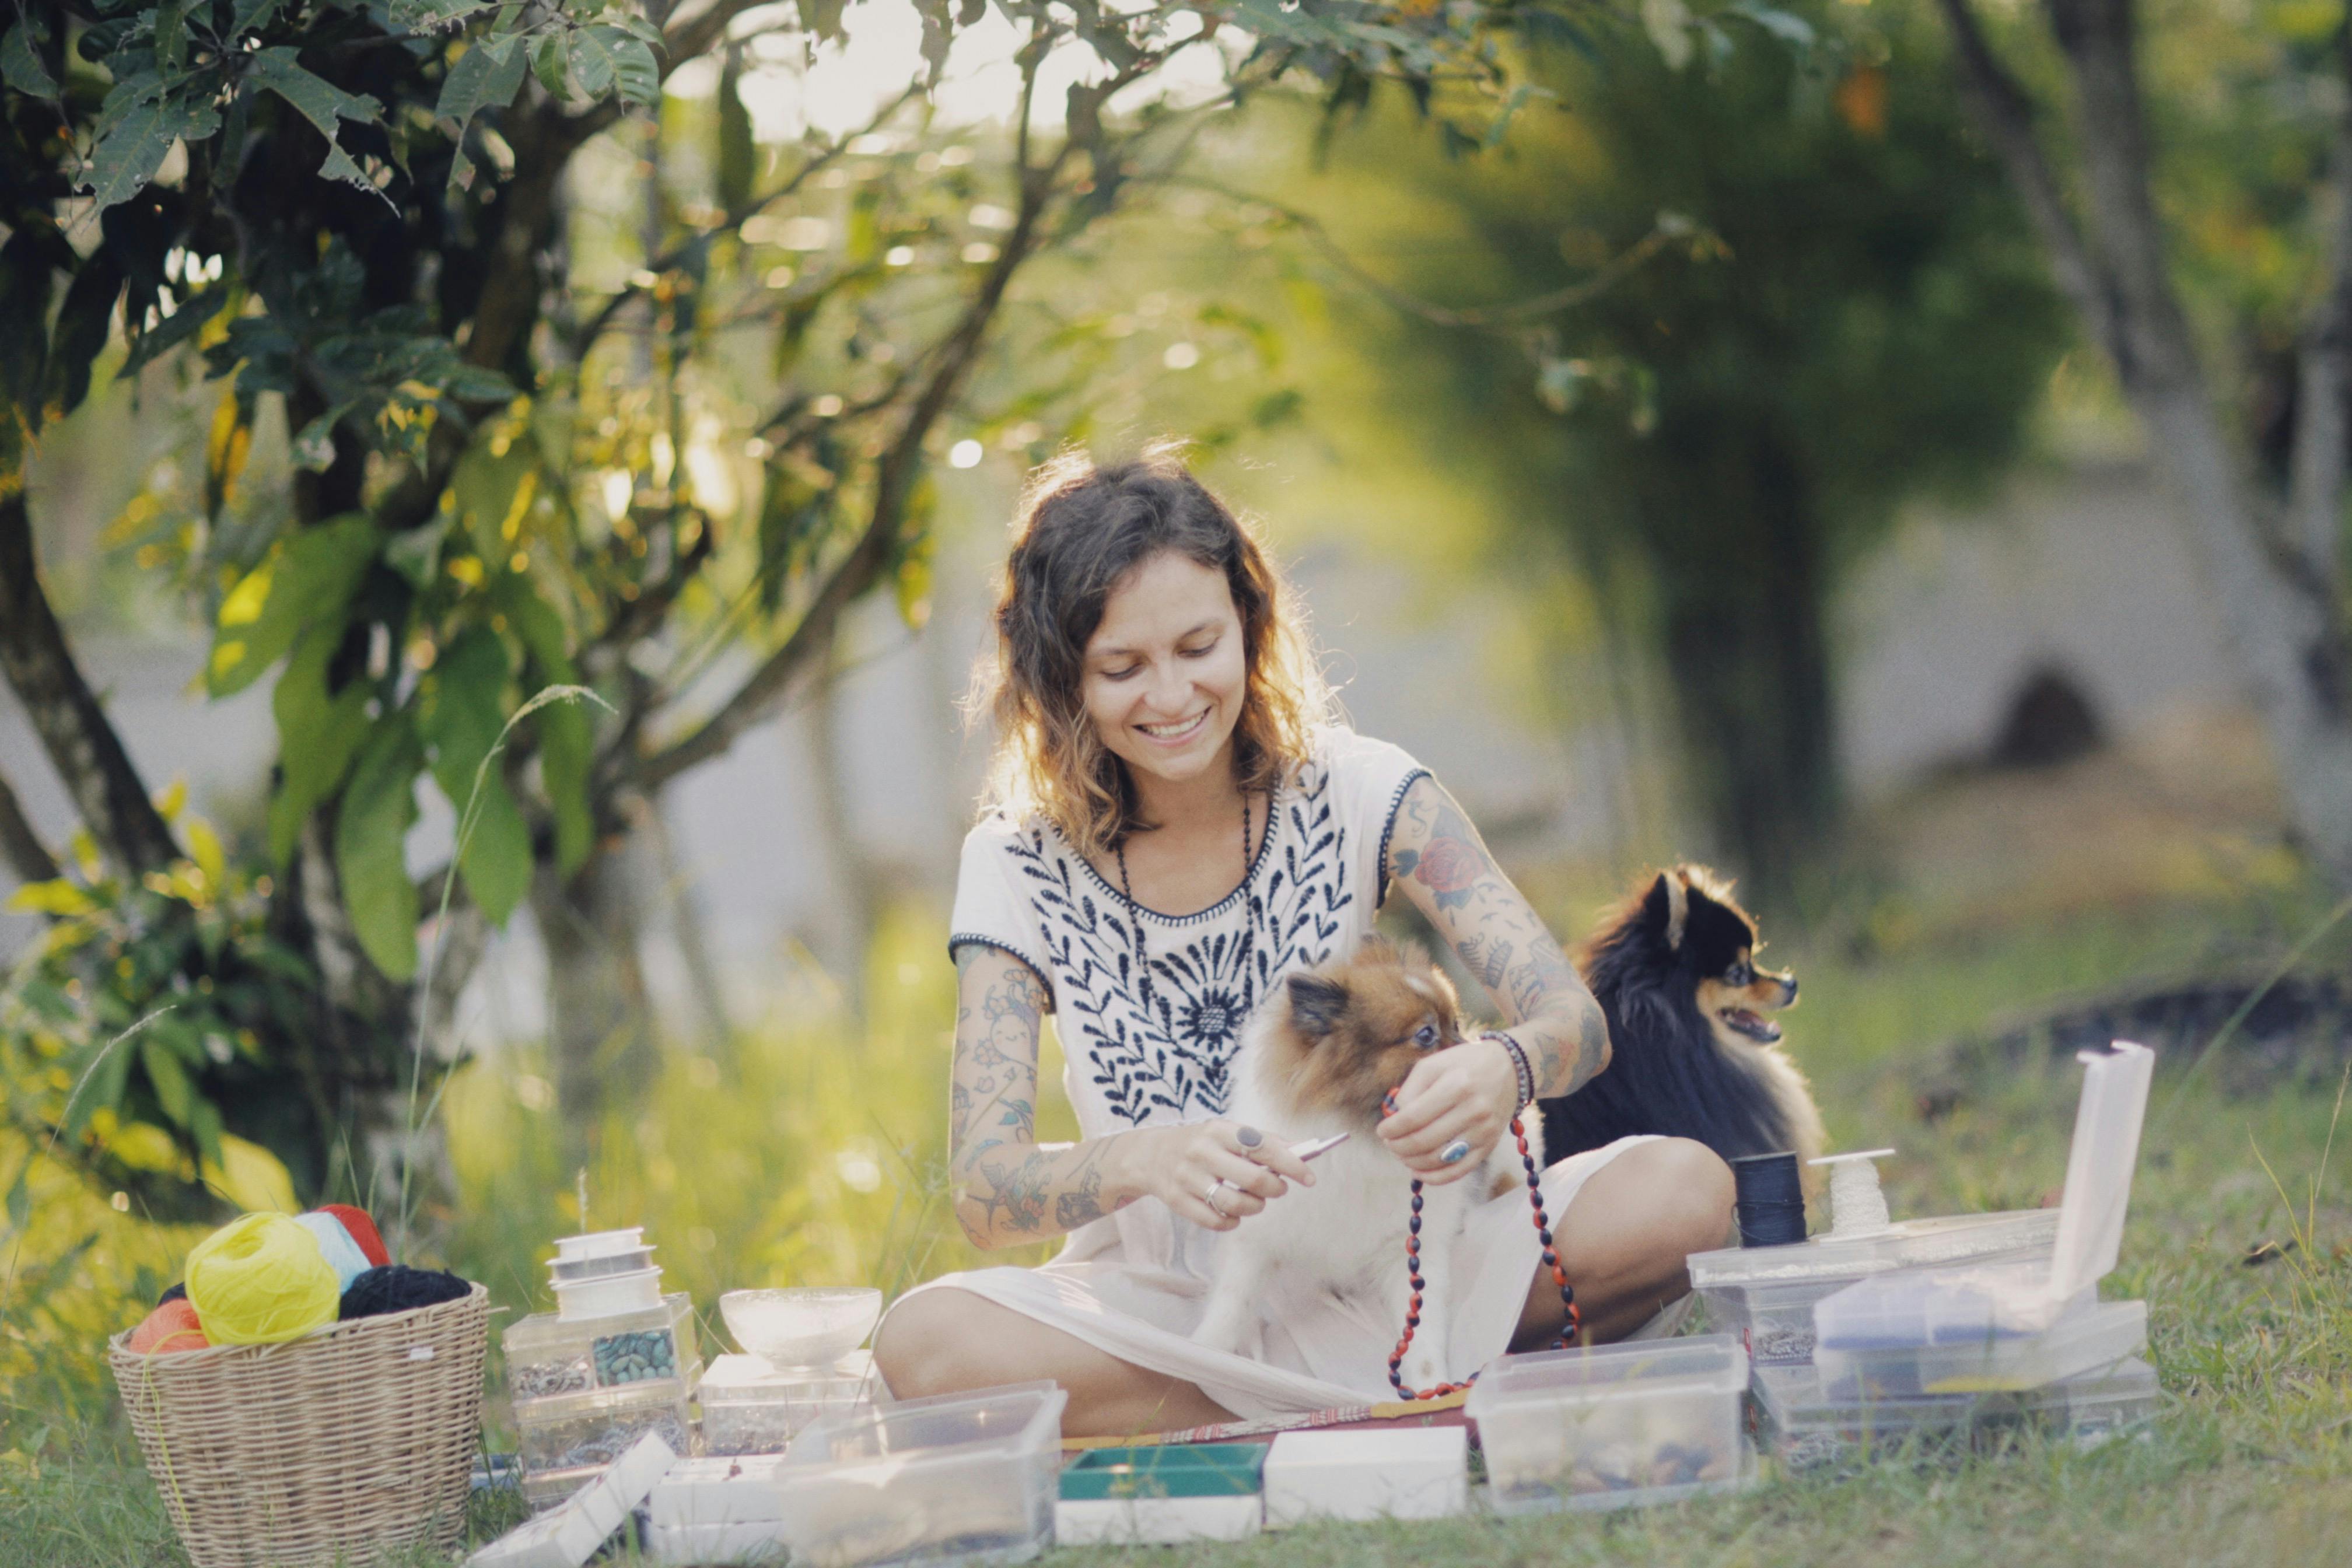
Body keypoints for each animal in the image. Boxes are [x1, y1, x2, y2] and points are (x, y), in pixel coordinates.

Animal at [1185, 940, 1533, 1391]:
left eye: (1455, 1023)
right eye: (1426, 1035)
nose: (1479, 1055)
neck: (1361, 1136)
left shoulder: (1410, 1251)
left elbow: (1421, 1337)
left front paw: (1430, 1389)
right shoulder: (1258, 1233)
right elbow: (1232, 1301)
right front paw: (1204, 1351)